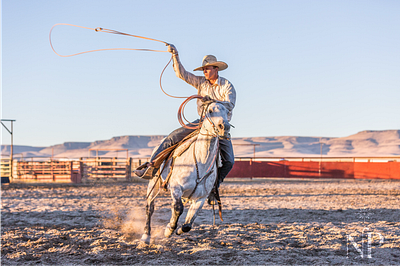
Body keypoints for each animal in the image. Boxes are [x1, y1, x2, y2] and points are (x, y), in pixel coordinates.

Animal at [141, 101, 231, 243]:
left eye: (227, 112)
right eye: (210, 111)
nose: (225, 127)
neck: (200, 162)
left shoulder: (201, 198)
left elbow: (188, 224)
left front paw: (178, 230)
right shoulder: (176, 188)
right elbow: (178, 208)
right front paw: (168, 230)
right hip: (153, 184)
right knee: (150, 207)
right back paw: (146, 235)